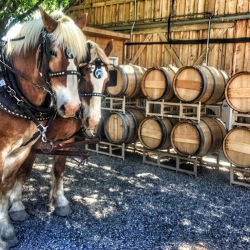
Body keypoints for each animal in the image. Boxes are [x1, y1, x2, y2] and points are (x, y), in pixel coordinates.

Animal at [0, 6, 89, 249]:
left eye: (80, 58)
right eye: (52, 52)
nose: (71, 107)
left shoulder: (19, 152)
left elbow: (5, 189)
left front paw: (6, 231)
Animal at [7, 40, 113, 226]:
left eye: (107, 80)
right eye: (82, 77)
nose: (93, 121)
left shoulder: (67, 140)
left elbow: (59, 170)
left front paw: (60, 201)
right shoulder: (34, 142)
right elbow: (23, 171)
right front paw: (17, 205)